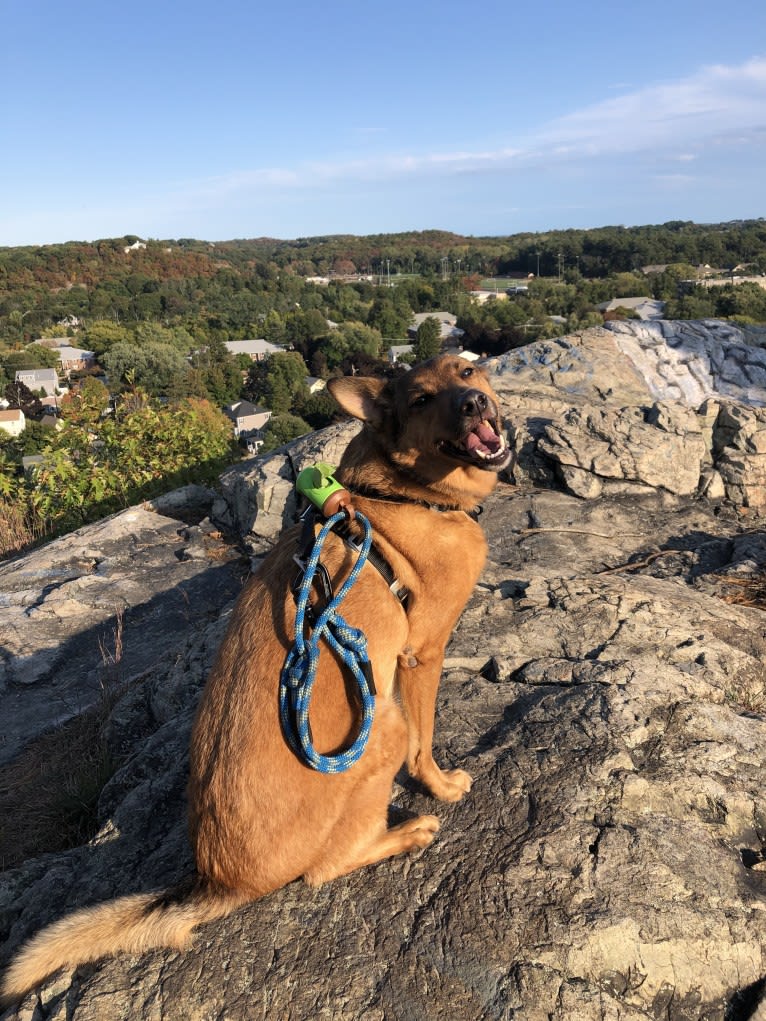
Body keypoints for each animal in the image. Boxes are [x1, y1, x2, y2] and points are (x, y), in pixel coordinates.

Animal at [3, 353, 512, 1004]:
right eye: (421, 399)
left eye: (467, 372)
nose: (474, 405)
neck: (403, 491)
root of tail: (222, 881)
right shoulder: (422, 656)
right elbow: (426, 743)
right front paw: (441, 785)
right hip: (383, 732)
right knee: (327, 866)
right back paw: (407, 832)